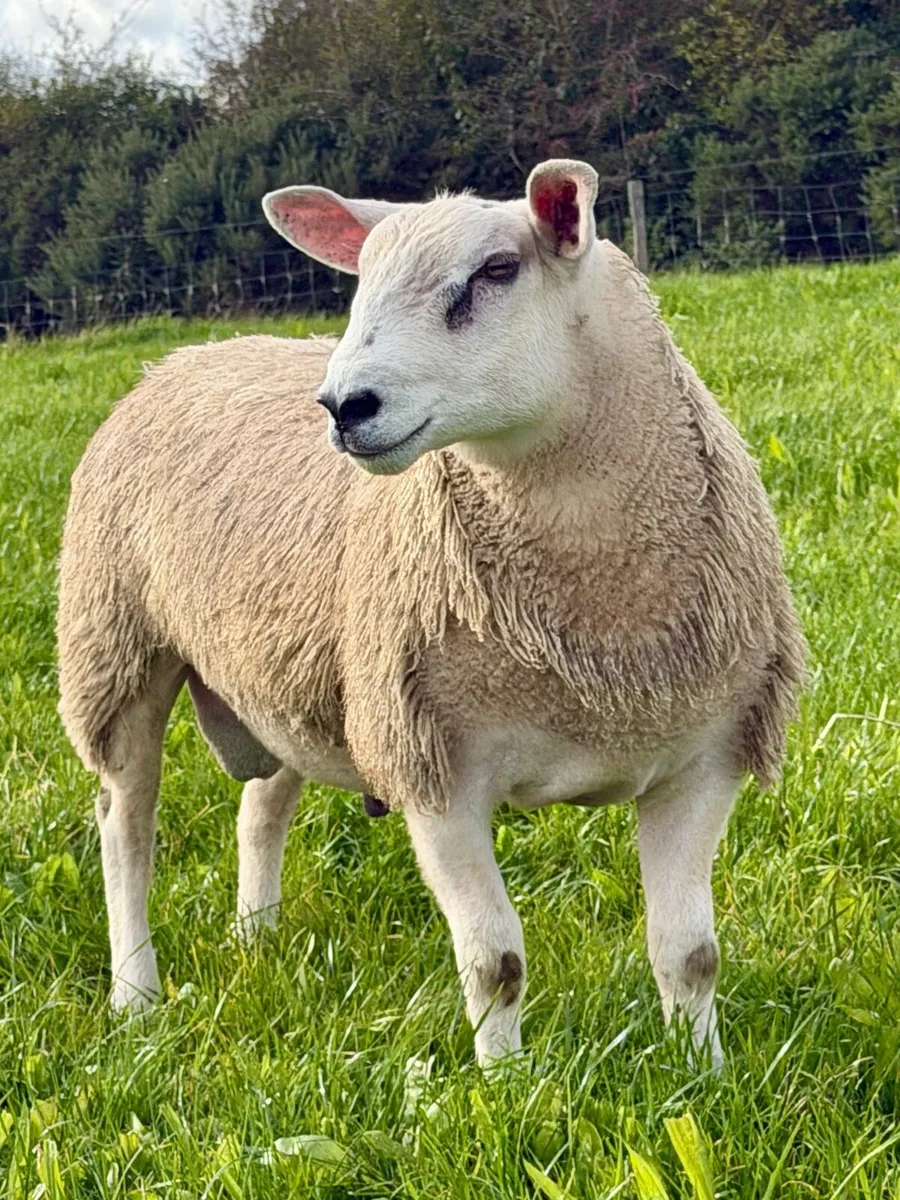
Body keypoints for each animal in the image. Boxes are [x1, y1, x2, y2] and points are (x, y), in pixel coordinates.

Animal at [57, 159, 804, 1067]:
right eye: (361, 282)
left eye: (495, 272)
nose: (344, 406)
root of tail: (183, 356)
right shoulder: (433, 766)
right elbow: (496, 962)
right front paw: (503, 1084)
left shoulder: (704, 757)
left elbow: (691, 954)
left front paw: (705, 1072)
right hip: (115, 642)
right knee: (125, 826)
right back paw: (136, 995)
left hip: (290, 671)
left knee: (261, 802)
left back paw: (256, 938)